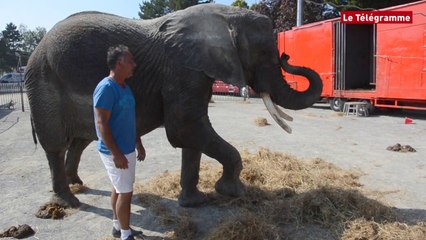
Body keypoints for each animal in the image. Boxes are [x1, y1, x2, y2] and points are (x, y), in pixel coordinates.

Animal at [25, 3, 322, 208]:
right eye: (264, 52)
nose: (286, 57)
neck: (225, 16)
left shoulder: (196, 71)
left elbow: (192, 137)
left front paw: (193, 202)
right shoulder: (181, 70)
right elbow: (185, 127)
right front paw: (232, 192)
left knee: (80, 140)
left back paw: (77, 184)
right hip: (44, 83)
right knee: (55, 144)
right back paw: (69, 201)